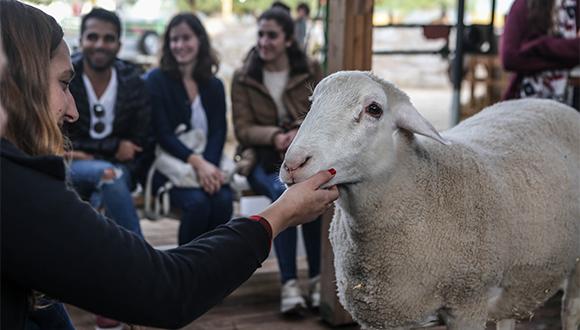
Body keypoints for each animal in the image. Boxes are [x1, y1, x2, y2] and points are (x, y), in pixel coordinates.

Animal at [278, 71, 576, 328]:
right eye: (312, 103)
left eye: (374, 109)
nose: (293, 164)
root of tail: (549, 102)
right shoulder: (384, 315)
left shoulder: (468, 303)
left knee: (570, 311)